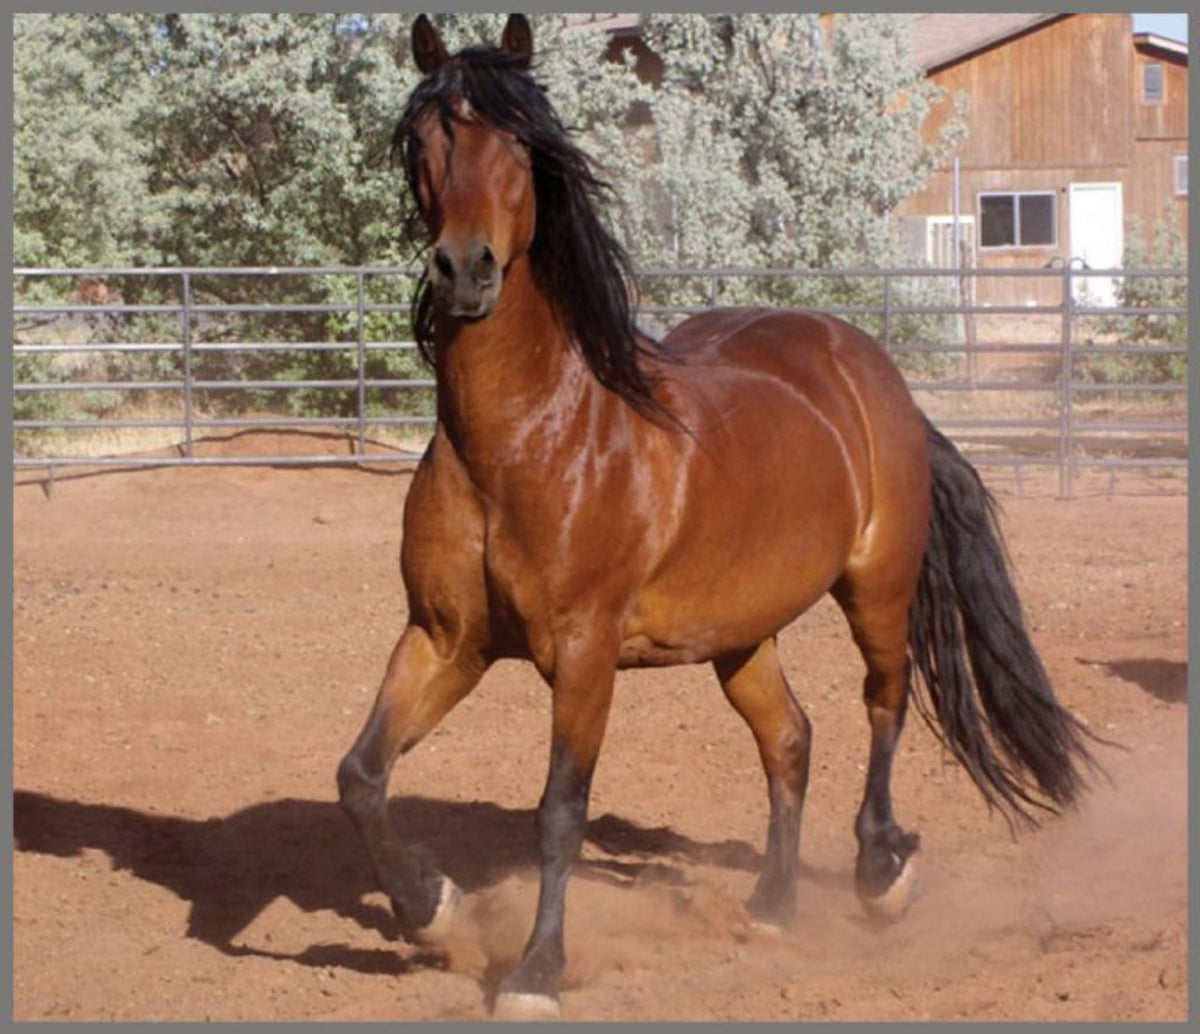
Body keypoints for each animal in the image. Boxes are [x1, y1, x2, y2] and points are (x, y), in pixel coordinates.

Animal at [336, 14, 1100, 1019]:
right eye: (424, 141)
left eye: (521, 143)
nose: (466, 271)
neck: (527, 437)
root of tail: (869, 370)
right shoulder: (442, 638)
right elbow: (363, 775)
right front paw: (431, 904)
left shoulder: (582, 653)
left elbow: (560, 813)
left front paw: (536, 972)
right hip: (742, 633)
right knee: (791, 738)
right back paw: (772, 904)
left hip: (877, 588)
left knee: (884, 703)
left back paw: (881, 872)